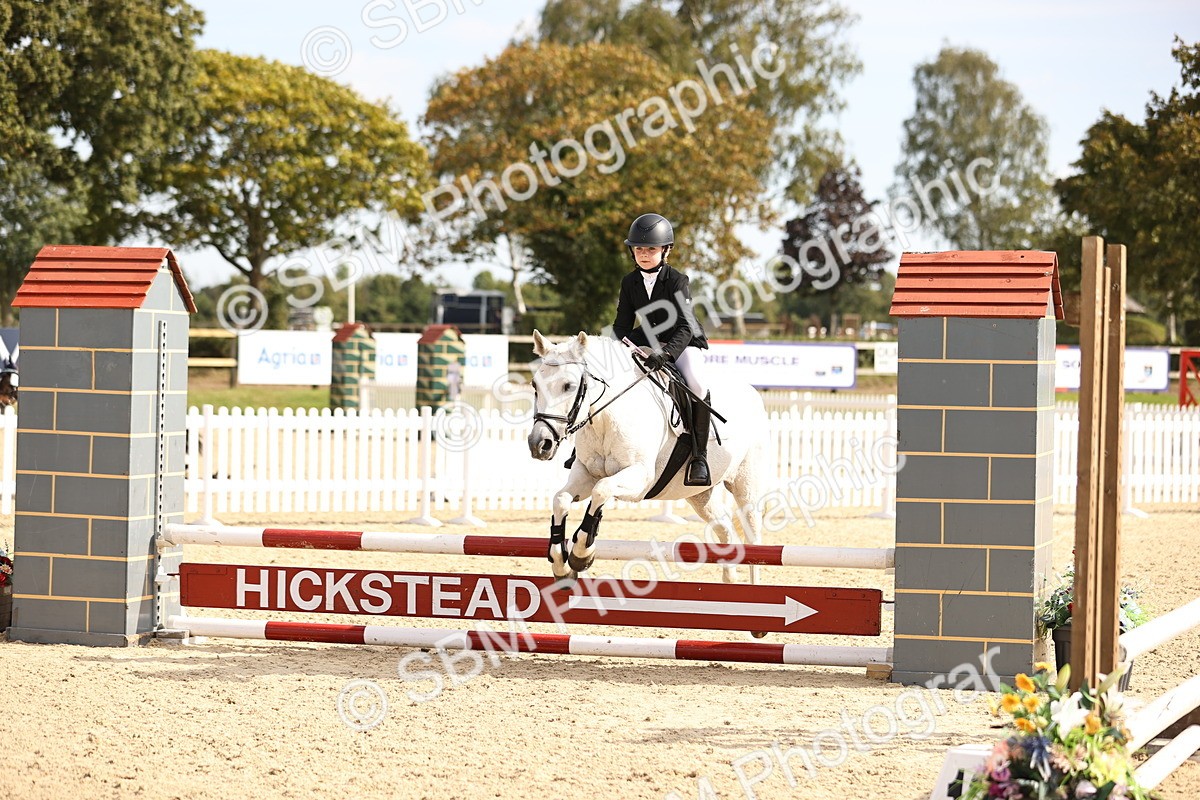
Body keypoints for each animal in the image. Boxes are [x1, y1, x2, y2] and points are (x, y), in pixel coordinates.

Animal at [527, 330, 768, 583]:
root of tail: (752, 392)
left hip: (747, 488)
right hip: (700, 495)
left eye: (569, 386)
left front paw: (582, 553)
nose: (539, 444)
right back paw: (729, 580)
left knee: (753, 536)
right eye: (535, 385)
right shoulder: (585, 474)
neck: (607, 418)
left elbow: (602, 489)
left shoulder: (640, 478)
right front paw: (561, 564)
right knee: (725, 529)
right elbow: (561, 499)